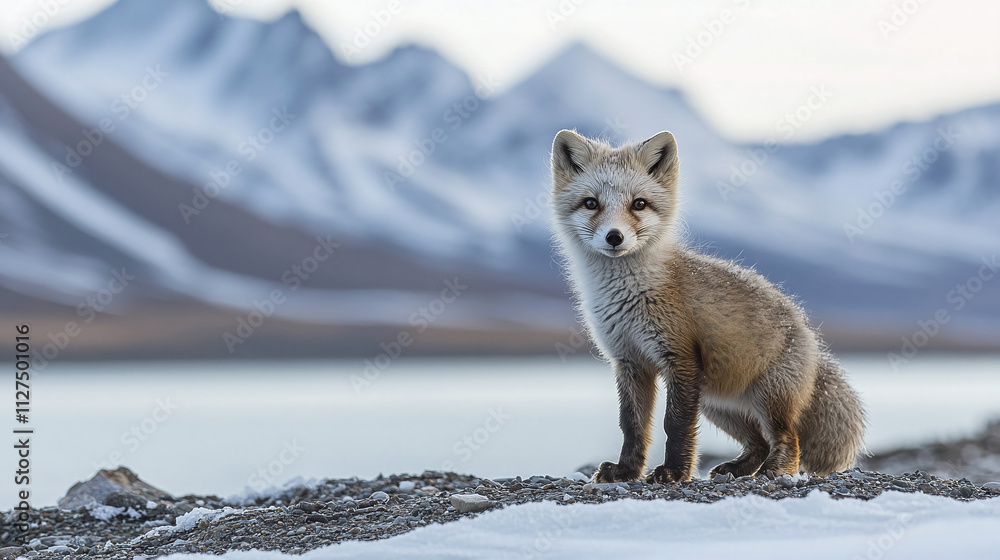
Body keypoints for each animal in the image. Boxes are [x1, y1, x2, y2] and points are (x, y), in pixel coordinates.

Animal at [550, 129, 865, 483]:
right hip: (717, 404)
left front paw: (674, 472)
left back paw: (773, 471)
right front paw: (626, 470)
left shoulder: (680, 358)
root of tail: (811, 335)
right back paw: (738, 468)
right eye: (591, 203)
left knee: (788, 438)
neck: (629, 296)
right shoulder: (629, 361)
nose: (614, 237)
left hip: (764, 399)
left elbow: (675, 425)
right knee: (758, 444)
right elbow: (632, 426)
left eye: (639, 204)